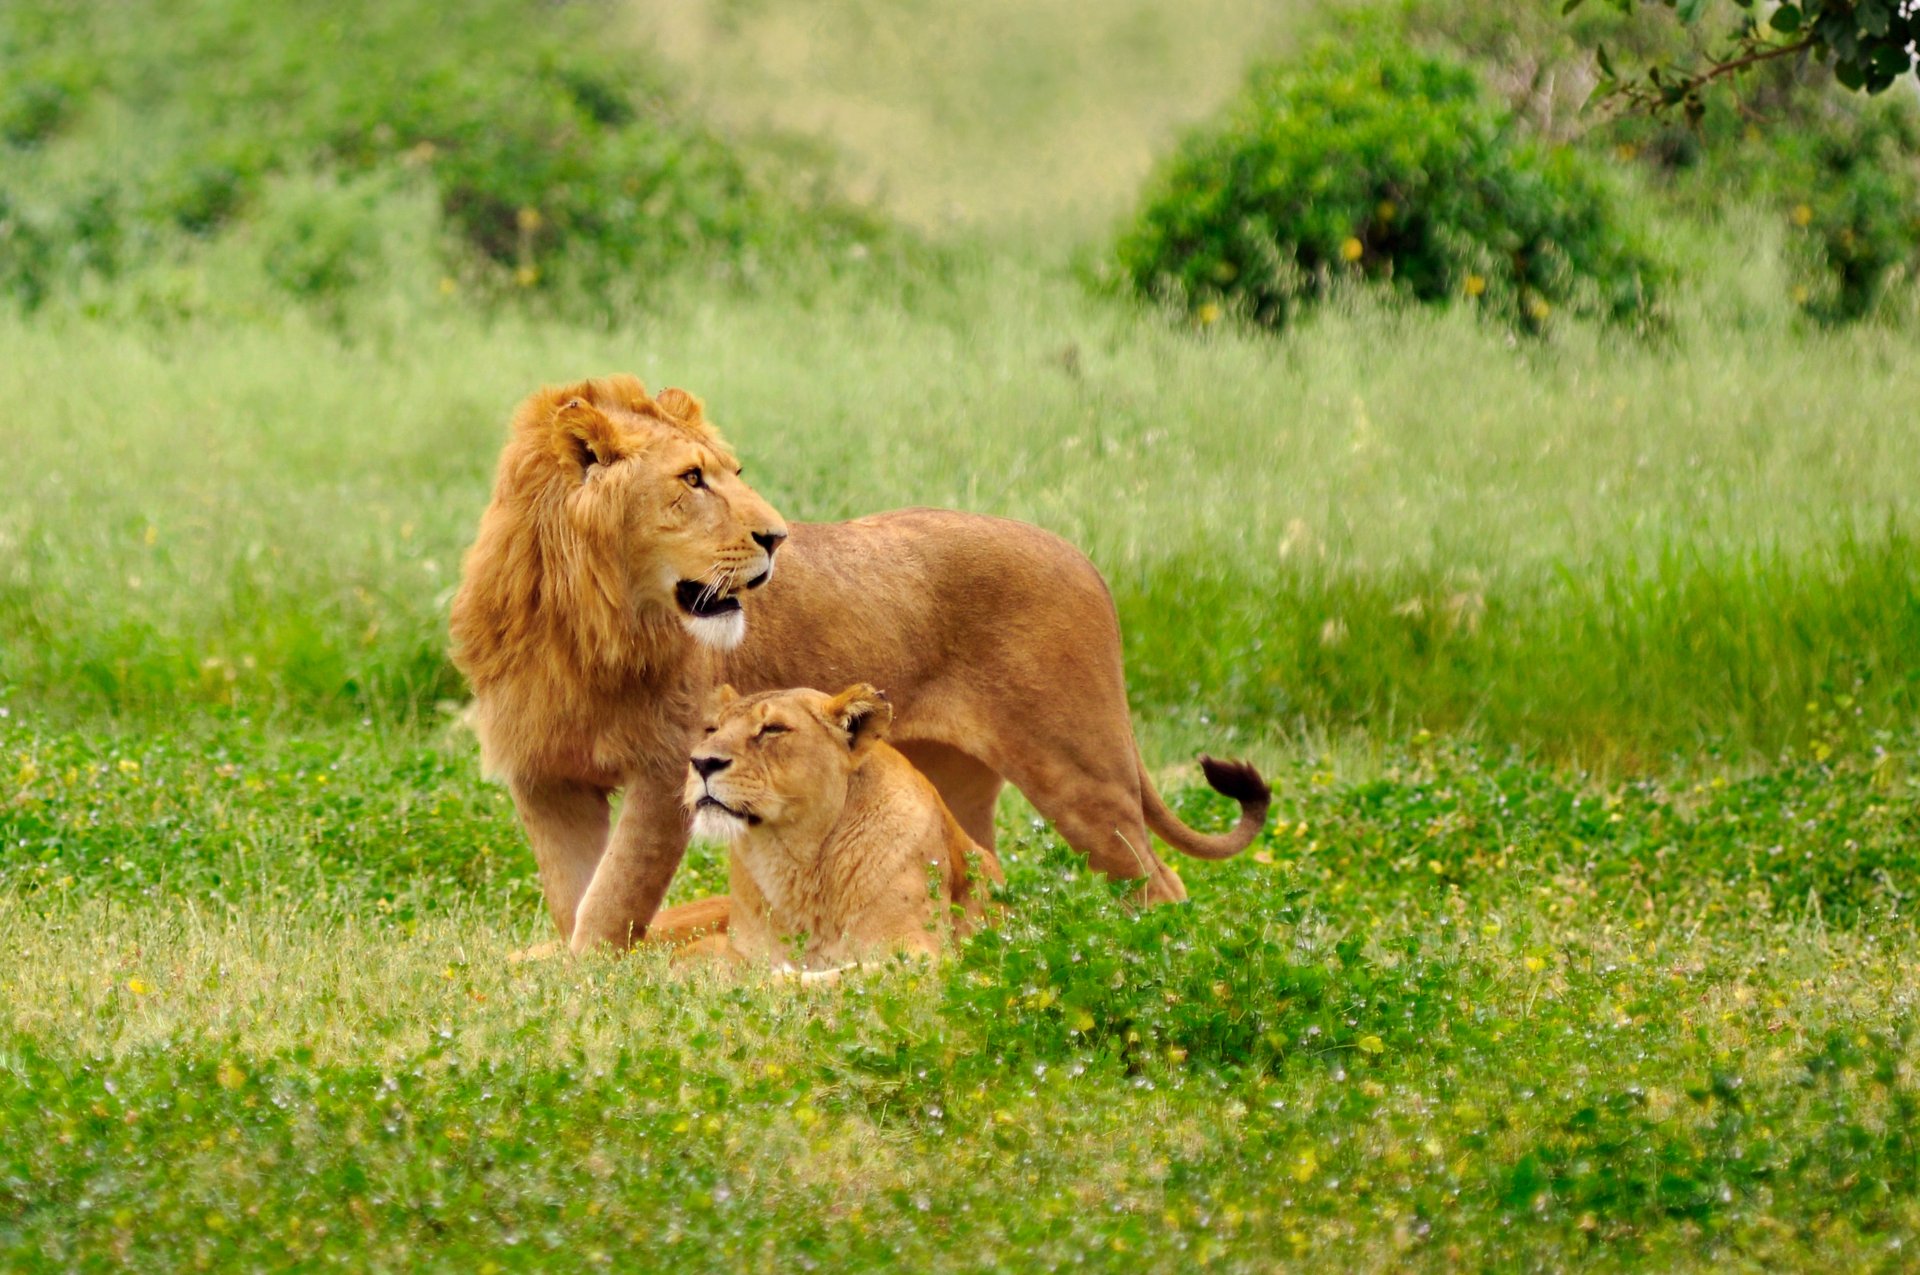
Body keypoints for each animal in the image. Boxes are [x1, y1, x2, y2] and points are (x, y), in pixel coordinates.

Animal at [668, 682, 1001, 972]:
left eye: (773, 728)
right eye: (713, 730)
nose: (702, 763)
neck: (794, 863)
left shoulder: (919, 955)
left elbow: (843, 975)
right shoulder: (735, 948)